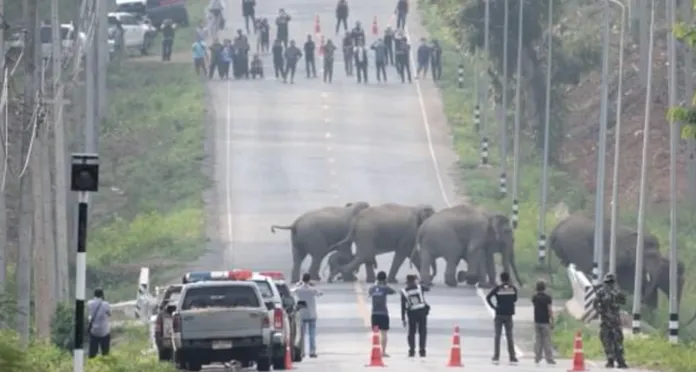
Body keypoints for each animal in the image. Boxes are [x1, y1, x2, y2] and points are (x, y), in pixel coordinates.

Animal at [548, 214, 684, 310]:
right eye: (651, 256)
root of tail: (555, 229)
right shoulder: (620, 253)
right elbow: (607, 266)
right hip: (575, 244)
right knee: (583, 265)